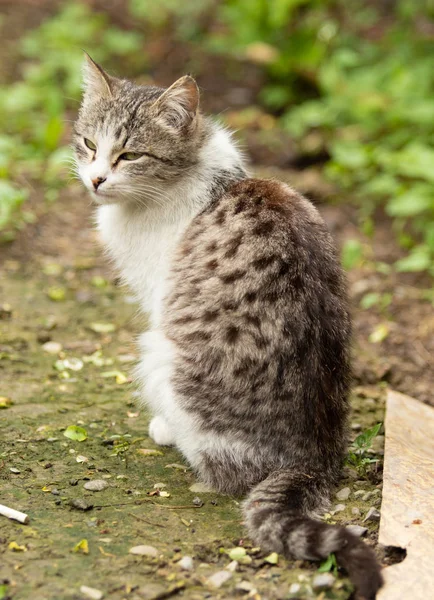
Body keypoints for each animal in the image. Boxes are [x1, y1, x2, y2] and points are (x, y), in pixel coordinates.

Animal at [74, 56, 384, 600]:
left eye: (130, 154)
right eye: (90, 144)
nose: (95, 180)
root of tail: (314, 456)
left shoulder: (159, 296)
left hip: (159, 350)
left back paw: (171, 433)